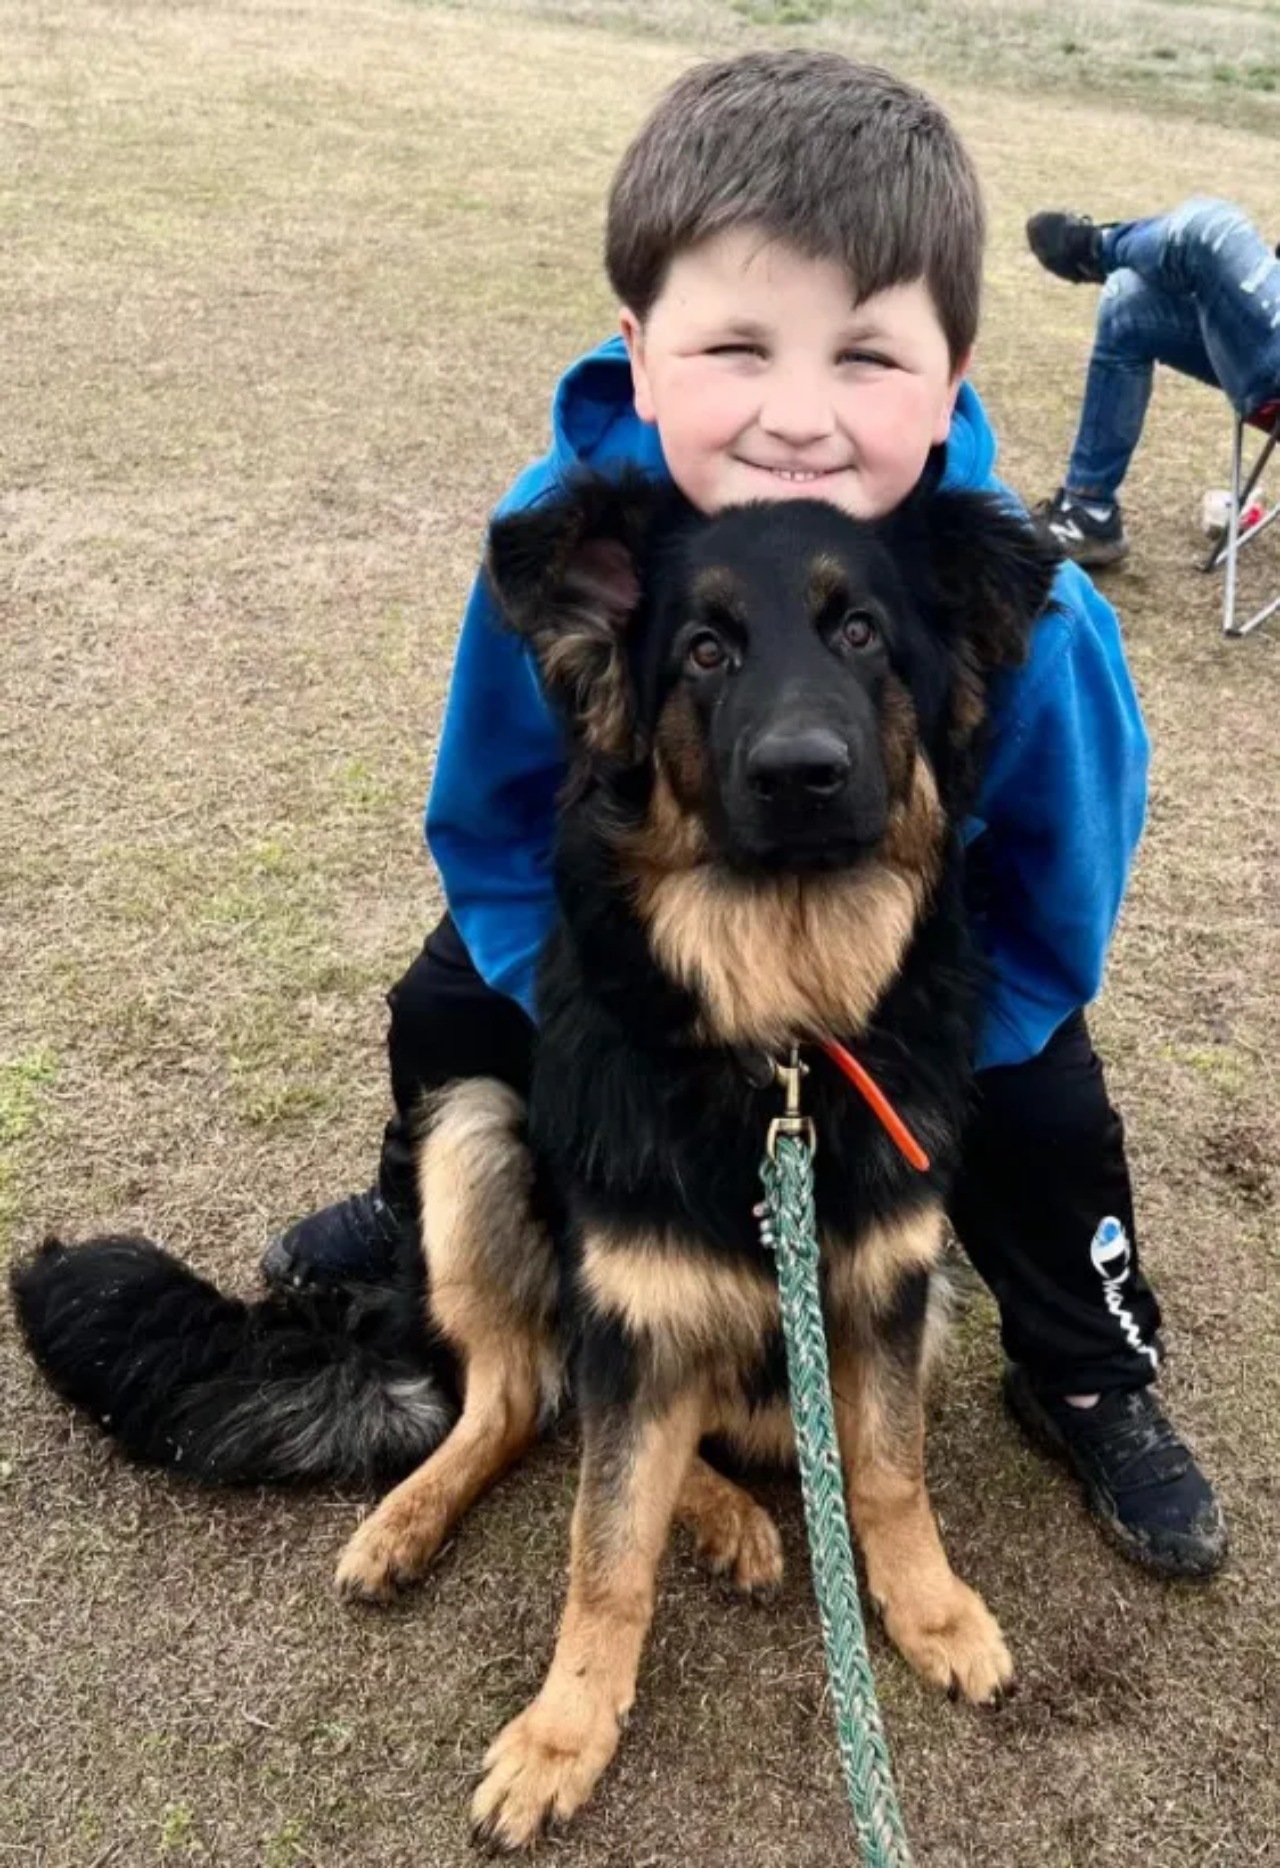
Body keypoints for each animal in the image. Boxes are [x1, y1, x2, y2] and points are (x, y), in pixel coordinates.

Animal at [12, 470, 1061, 1853]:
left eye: (860, 634)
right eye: (704, 650)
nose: (800, 773)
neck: (778, 1034)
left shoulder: (889, 1281)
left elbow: (886, 1471)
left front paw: (929, 1607)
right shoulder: (631, 1294)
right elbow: (602, 1551)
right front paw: (565, 1732)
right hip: (473, 1131)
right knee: (523, 1399)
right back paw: (428, 1517)